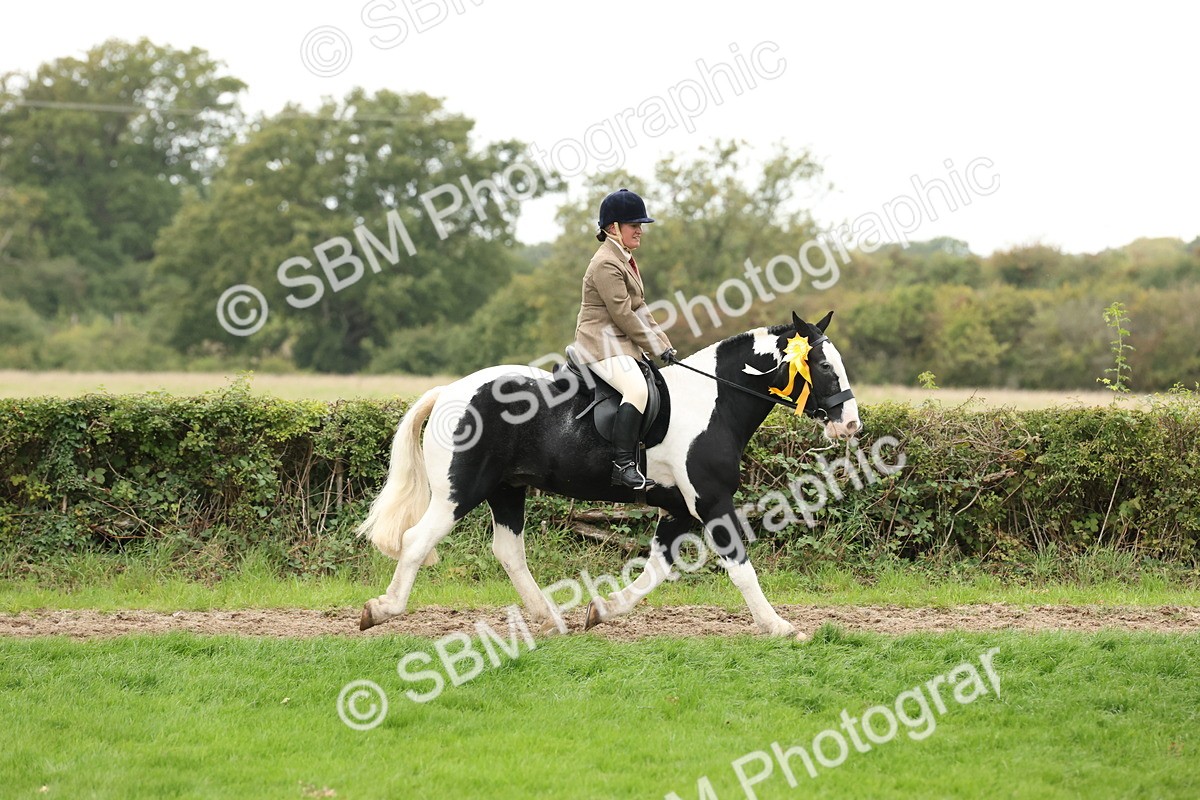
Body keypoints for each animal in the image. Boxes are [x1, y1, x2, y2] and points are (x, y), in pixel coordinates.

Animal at [356, 311, 860, 638]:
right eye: (821, 364)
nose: (851, 424)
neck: (713, 400)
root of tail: (449, 392)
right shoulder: (711, 501)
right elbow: (740, 567)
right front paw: (781, 627)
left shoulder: (678, 507)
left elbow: (657, 569)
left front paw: (602, 610)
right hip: (459, 492)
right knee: (417, 541)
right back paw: (381, 610)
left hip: (506, 489)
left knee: (508, 551)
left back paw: (551, 620)